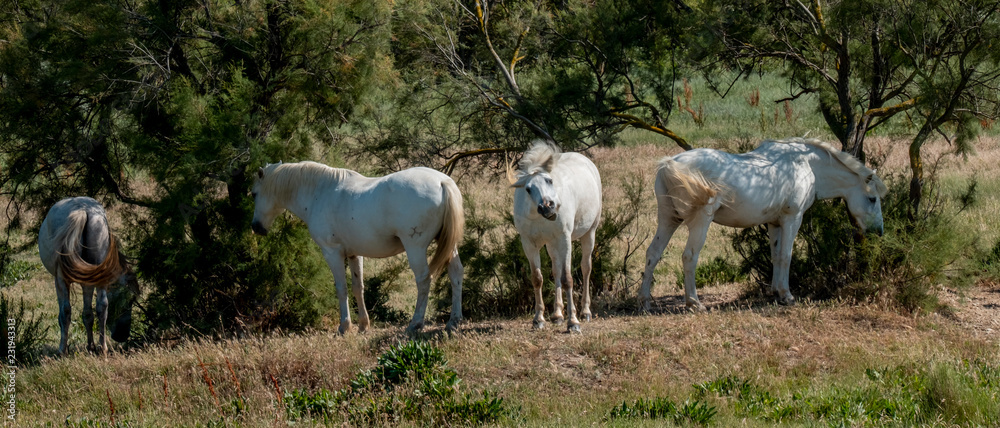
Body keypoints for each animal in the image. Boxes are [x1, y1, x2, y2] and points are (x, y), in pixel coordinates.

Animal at [38, 197, 138, 356]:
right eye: (130, 300)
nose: (122, 335)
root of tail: (84, 211)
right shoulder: (88, 283)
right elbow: (88, 315)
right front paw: (90, 346)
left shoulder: (59, 281)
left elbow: (63, 314)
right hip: (99, 275)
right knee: (102, 306)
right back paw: (102, 348)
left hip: (62, 279)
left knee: (66, 311)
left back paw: (62, 350)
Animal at [251, 161, 465, 334]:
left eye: (254, 194)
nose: (256, 227)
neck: (320, 193)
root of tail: (442, 182)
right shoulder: (355, 254)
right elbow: (357, 287)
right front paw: (363, 325)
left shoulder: (332, 253)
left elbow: (341, 288)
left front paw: (344, 326)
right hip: (450, 246)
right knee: (456, 274)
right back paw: (453, 321)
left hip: (415, 248)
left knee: (423, 280)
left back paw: (415, 324)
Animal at [509, 141, 602, 333]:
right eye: (528, 189)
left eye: (549, 180)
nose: (548, 207)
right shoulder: (529, 244)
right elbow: (537, 278)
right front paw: (539, 319)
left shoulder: (564, 239)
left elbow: (567, 279)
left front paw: (573, 322)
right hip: (551, 244)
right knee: (556, 270)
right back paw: (557, 314)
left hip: (589, 233)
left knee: (586, 268)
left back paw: (585, 312)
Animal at [638, 137, 887, 311]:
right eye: (872, 199)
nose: (879, 232)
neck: (806, 165)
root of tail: (671, 164)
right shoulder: (792, 219)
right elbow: (786, 256)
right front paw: (787, 295)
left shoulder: (774, 224)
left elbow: (776, 256)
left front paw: (776, 292)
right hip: (700, 222)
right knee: (689, 256)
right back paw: (694, 303)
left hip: (668, 220)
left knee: (653, 253)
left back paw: (644, 301)